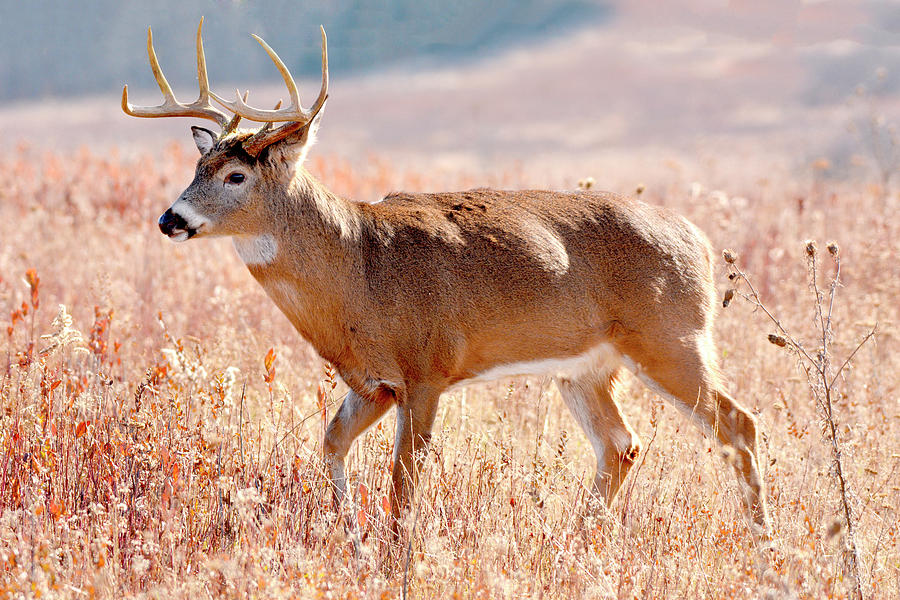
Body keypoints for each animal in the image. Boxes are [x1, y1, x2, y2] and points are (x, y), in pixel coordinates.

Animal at [123, 18, 768, 536]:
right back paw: (580, 539)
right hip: (586, 367)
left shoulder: (427, 369)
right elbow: (331, 444)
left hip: (669, 336)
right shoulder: (373, 382)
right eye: (198, 164)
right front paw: (350, 535)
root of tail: (700, 243)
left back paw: (761, 542)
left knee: (738, 423)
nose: (170, 218)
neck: (358, 268)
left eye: (235, 175)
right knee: (622, 446)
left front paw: (395, 554)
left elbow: (402, 482)